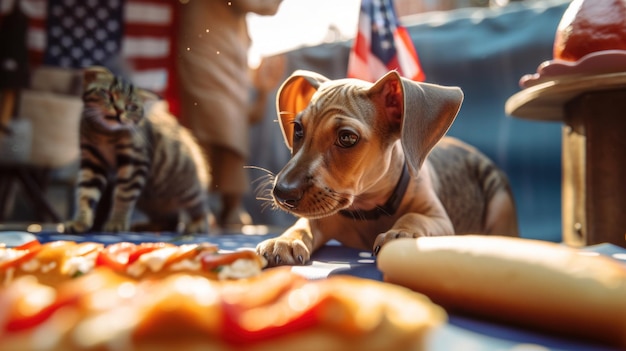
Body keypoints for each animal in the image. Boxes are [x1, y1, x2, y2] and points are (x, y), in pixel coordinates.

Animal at [64, 67, 210, 235]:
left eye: (131, 106)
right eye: (108, 94)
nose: (119, 110)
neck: (105, 134)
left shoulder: (134, 162)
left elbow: (123, 196)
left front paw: (117, 222)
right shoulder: (92, 161)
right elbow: (85, 193)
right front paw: (80, 221)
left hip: (188, 191)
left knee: (201, 210)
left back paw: (197, 224)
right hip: (152, 202)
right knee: (171, 222)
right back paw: (147, 226)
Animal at [254, 70, 516, 266]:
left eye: (347, 138)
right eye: (298, 129)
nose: (282, 193)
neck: (371, 207)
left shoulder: (439, 219)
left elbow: (414, 216)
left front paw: (403, 233)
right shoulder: (322, 218)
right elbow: (303, 224)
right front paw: (285, 240)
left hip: (500, 201)